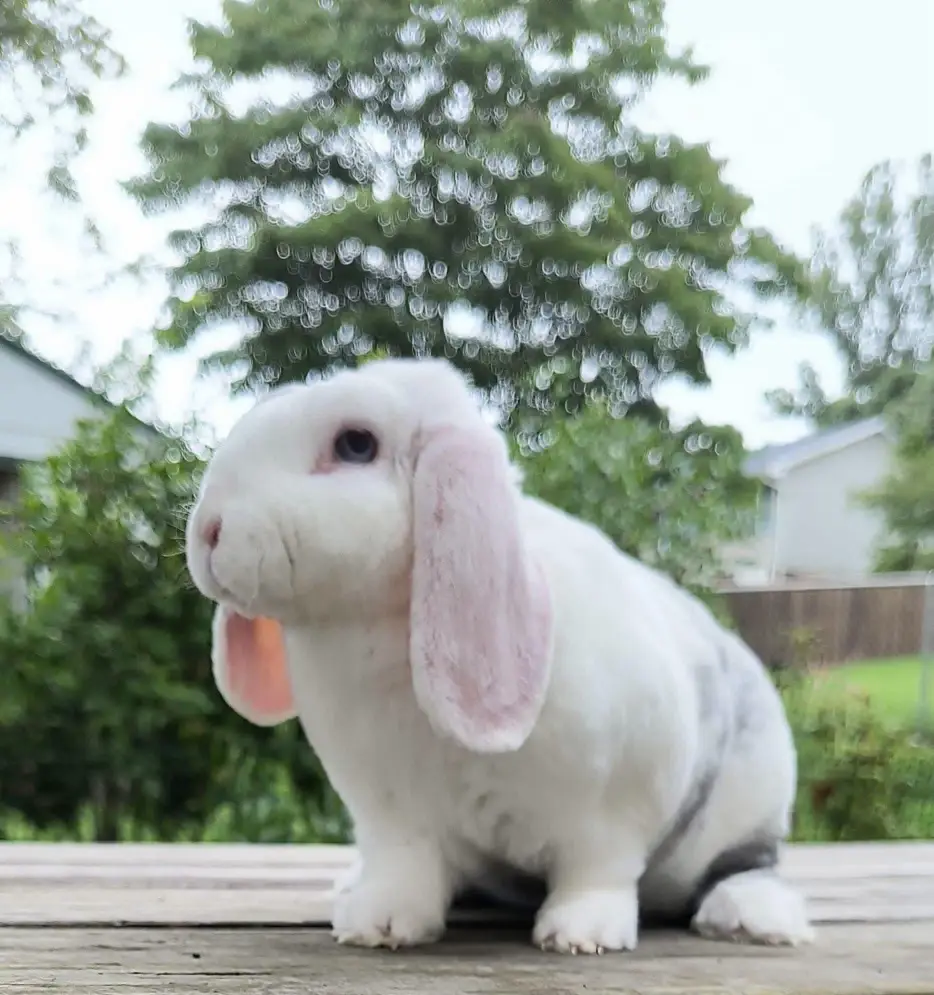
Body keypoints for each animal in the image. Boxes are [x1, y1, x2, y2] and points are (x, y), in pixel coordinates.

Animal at [185, 355, 814, 955]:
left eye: (355, 444)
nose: (209, 530)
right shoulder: (388, 810)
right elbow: (403, 867)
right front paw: (377, 924)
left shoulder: (614, 808)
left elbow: (596, 872)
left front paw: (581, 935)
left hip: (751, 805)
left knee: (747, 865)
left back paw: (751, 918)